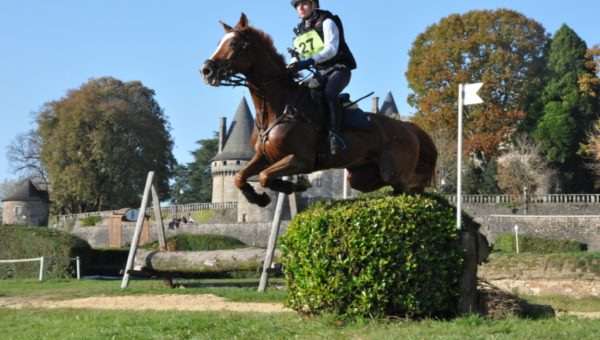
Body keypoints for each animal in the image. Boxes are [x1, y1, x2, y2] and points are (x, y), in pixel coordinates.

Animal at [199, 13, 438, 207]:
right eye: (219, 42)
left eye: (235, 43)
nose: (206, 70)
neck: (278, 108)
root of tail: (407, 127)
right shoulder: (263, 156)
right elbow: (240, 177)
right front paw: (258, 197)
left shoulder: (301, 159)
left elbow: (266, 177)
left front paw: (290, 186)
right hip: (362, 176)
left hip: (394, 172)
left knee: (415, 183)